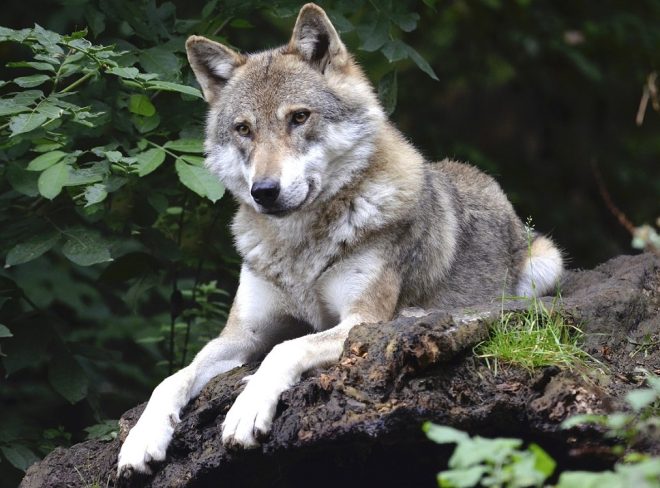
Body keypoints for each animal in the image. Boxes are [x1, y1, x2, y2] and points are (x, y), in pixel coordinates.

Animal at [117, 3, 563, 477]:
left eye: (299, 117)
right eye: (243, 129)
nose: (264, 191)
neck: (299, 248)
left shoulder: (358, 321)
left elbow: (285, 349)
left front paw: (246, 409)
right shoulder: (241, 334)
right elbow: (173, 378)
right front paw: (142, 438)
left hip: (545, 264)